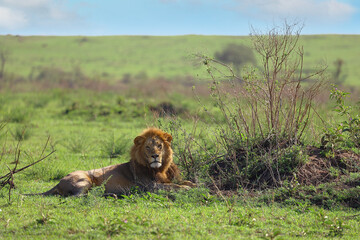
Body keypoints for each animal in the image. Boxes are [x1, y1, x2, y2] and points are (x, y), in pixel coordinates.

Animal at [27, 128, 195, 196]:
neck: (159, 169)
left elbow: (183, 182)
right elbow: (174, 186)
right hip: (84, 180)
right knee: (78, 196)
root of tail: (59, 182)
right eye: (148, 147)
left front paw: (193, 185)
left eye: (159, 146)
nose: (155, 155)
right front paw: (187, 189)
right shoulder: (150, 186)